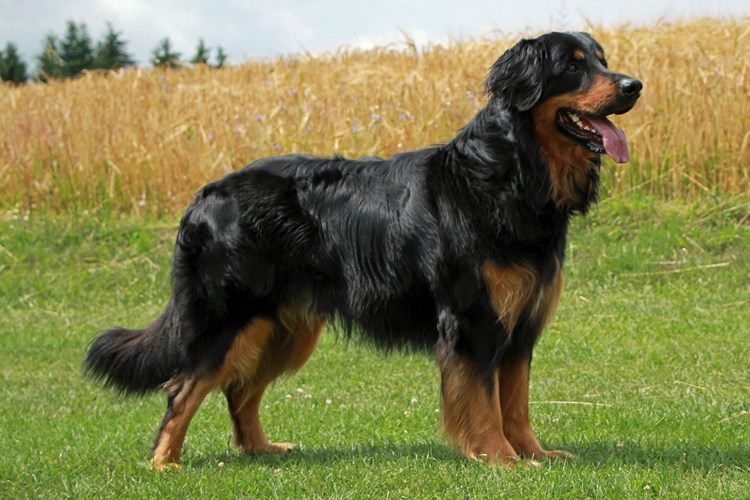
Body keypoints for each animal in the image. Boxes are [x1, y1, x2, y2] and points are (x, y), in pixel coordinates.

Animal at [85, 31, 641, 469]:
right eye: (571, 66)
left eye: (601, 58)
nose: (634, 85)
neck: (509, 173)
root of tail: (204, 195)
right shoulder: (473, 320)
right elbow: (483, 403)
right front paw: (500, 457)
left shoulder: (521, 324)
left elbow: (517, 402)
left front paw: (533, 452)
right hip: (230, 315)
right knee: (183, 388)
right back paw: (164, 463)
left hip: (284, 325)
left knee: (239, 390)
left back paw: (261, 449)